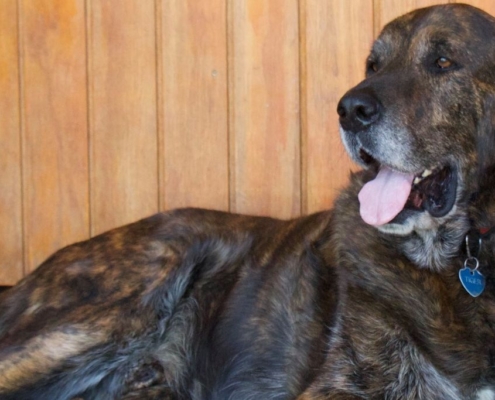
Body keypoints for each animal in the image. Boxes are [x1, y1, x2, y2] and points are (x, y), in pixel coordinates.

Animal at [0, 3, 495, 400]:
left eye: (443, 61)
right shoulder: (335, 386)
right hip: (124, 300)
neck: (459, 260)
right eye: (372, 66)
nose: (349, 110)